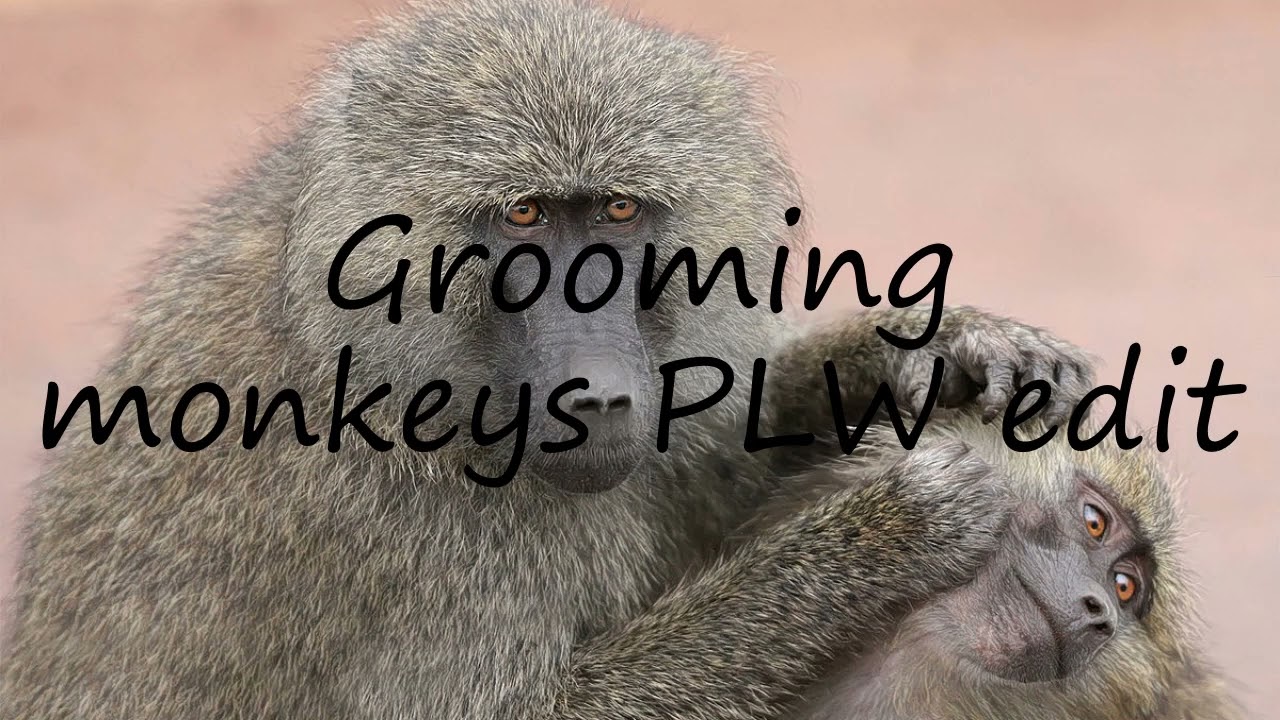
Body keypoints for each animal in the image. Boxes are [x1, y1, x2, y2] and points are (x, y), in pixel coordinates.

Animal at [0, 1, 1098, 719]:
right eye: (523, 218)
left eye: (615, 212)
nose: (594, 388)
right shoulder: (399, 519)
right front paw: (876, 537)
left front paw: (936, 351)